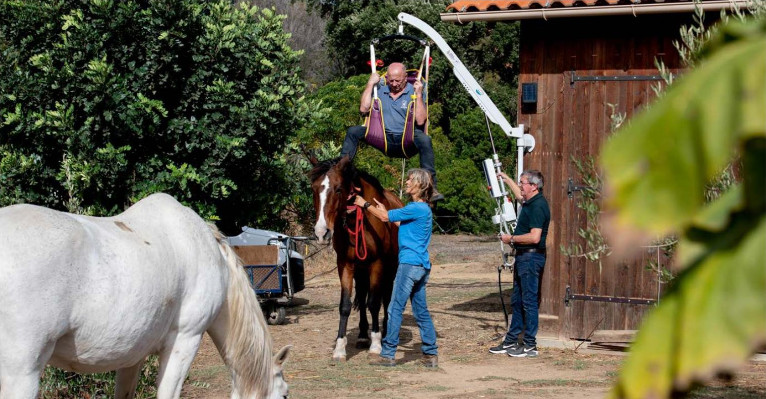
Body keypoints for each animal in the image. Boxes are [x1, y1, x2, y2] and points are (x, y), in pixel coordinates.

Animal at [310, 158, 404, 360]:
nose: (322, 233)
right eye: (314, 189)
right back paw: (362, 336)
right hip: (361, 271)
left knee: (386, 297)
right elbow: (345, 305)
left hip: (390, 269)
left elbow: (374, 303)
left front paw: (376, 344)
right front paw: (339, 348)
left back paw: (385, 333)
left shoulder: (377, 264)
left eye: (338, 189)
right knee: (361, 295)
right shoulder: (345, 264)